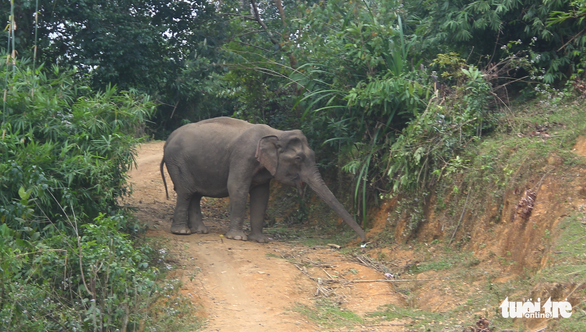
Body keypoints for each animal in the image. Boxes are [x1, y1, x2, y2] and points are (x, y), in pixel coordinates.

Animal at [160, 118, 364, 243]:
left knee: (195, 193)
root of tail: (167, 140)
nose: (364, 239)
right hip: (176, 161)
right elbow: (237, 188)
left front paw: (260, 240)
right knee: (186, 191)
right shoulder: (243, 156)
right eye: (298, 158)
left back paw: (200, 231)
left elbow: (262, 195)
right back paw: (182, 232)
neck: (276, 133)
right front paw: (237, 238)